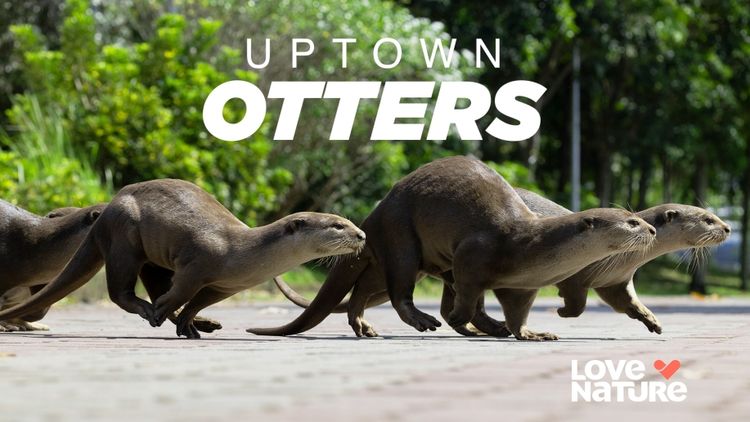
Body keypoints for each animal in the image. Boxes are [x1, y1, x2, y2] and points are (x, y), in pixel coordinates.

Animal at [0, 179, 365, 339]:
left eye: (346, 222)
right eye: (336, 225)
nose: (362, 235)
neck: (242, 252)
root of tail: (108, 210)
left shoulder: (228, 286)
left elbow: (200, 299)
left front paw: (190, 319)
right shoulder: (198, 265)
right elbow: (182, 291)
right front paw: (163, 311)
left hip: (151, 258)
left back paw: (197, 325)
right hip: (125, 237)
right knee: (120, 291)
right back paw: (151, 310)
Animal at [247, 156, 656, 340]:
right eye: (631, 222)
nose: (652, 228)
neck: (529, 244)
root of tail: (373, 215)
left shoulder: (523, 286)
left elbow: (516, 312)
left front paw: (529, 333)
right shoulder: (474, 253)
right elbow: (469, 292)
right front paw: (463, 319)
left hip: (407, 258)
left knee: (366, 287)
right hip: (402, 238)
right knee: (400, 290)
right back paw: (428, 321)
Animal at [276, 188, 730, 337]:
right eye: (706, 218)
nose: (726, 227)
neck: (621, 261)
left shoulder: (617, 280)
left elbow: (629, 303)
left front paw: (652, 320)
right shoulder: (584, 275)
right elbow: (577, 299)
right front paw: (562, 313)